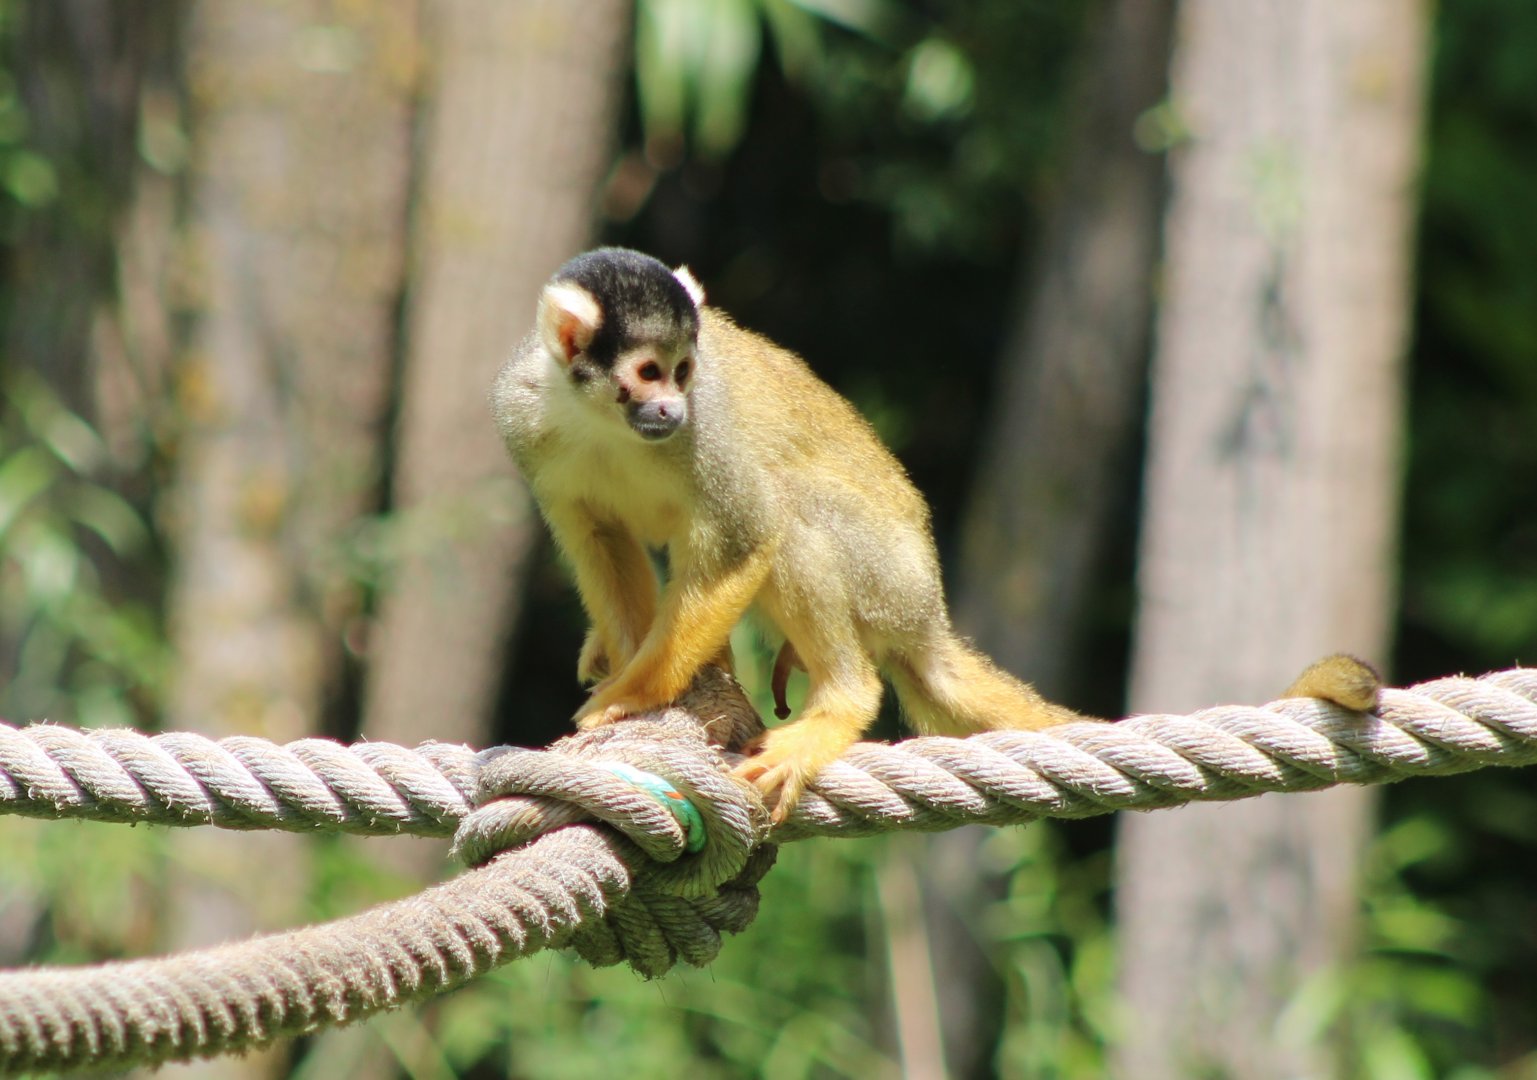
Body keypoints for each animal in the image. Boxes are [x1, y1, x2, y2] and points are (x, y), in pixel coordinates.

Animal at [492, 248, 1381, 821]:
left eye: (681, 373)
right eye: (647, 372)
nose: (671, 407)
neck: (598, 416)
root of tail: (929, 612)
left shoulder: (704, 434)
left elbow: (749, 531)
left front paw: (634, 694)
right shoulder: (523, 415)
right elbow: (593, 534)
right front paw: (625, 665)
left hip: (888, 572)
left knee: (793, 510)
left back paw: (838, 702)